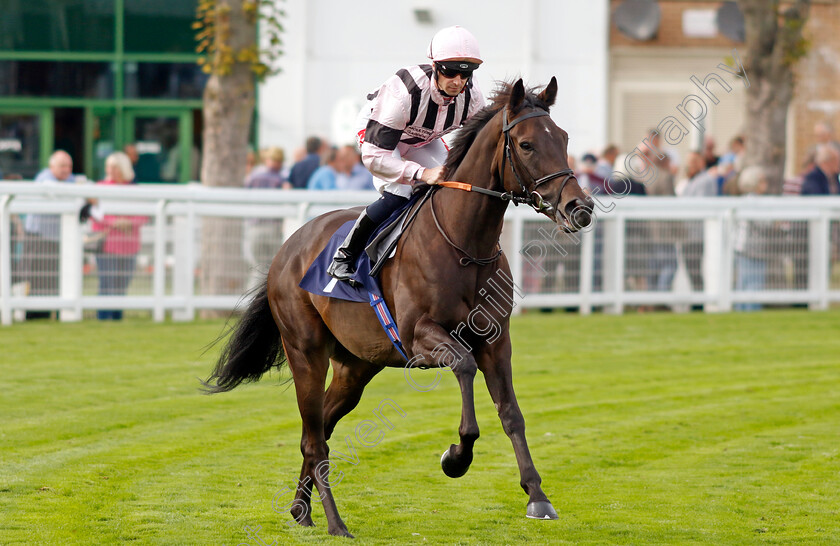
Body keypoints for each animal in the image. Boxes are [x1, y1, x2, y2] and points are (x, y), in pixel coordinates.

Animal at [206, 76, 592, 536]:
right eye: (527, 144)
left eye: (564, 139)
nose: (579, 207)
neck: (464, 245)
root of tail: (288, 247)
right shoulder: (419, 336)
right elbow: (464, 368)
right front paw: (455, 458)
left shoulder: (497, 341)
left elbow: (512, 413)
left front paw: (537, 496)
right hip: (305, 352)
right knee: (314, 439)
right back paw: (336, 523)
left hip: (355, 367)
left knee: (320, 429)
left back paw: (301, 510)